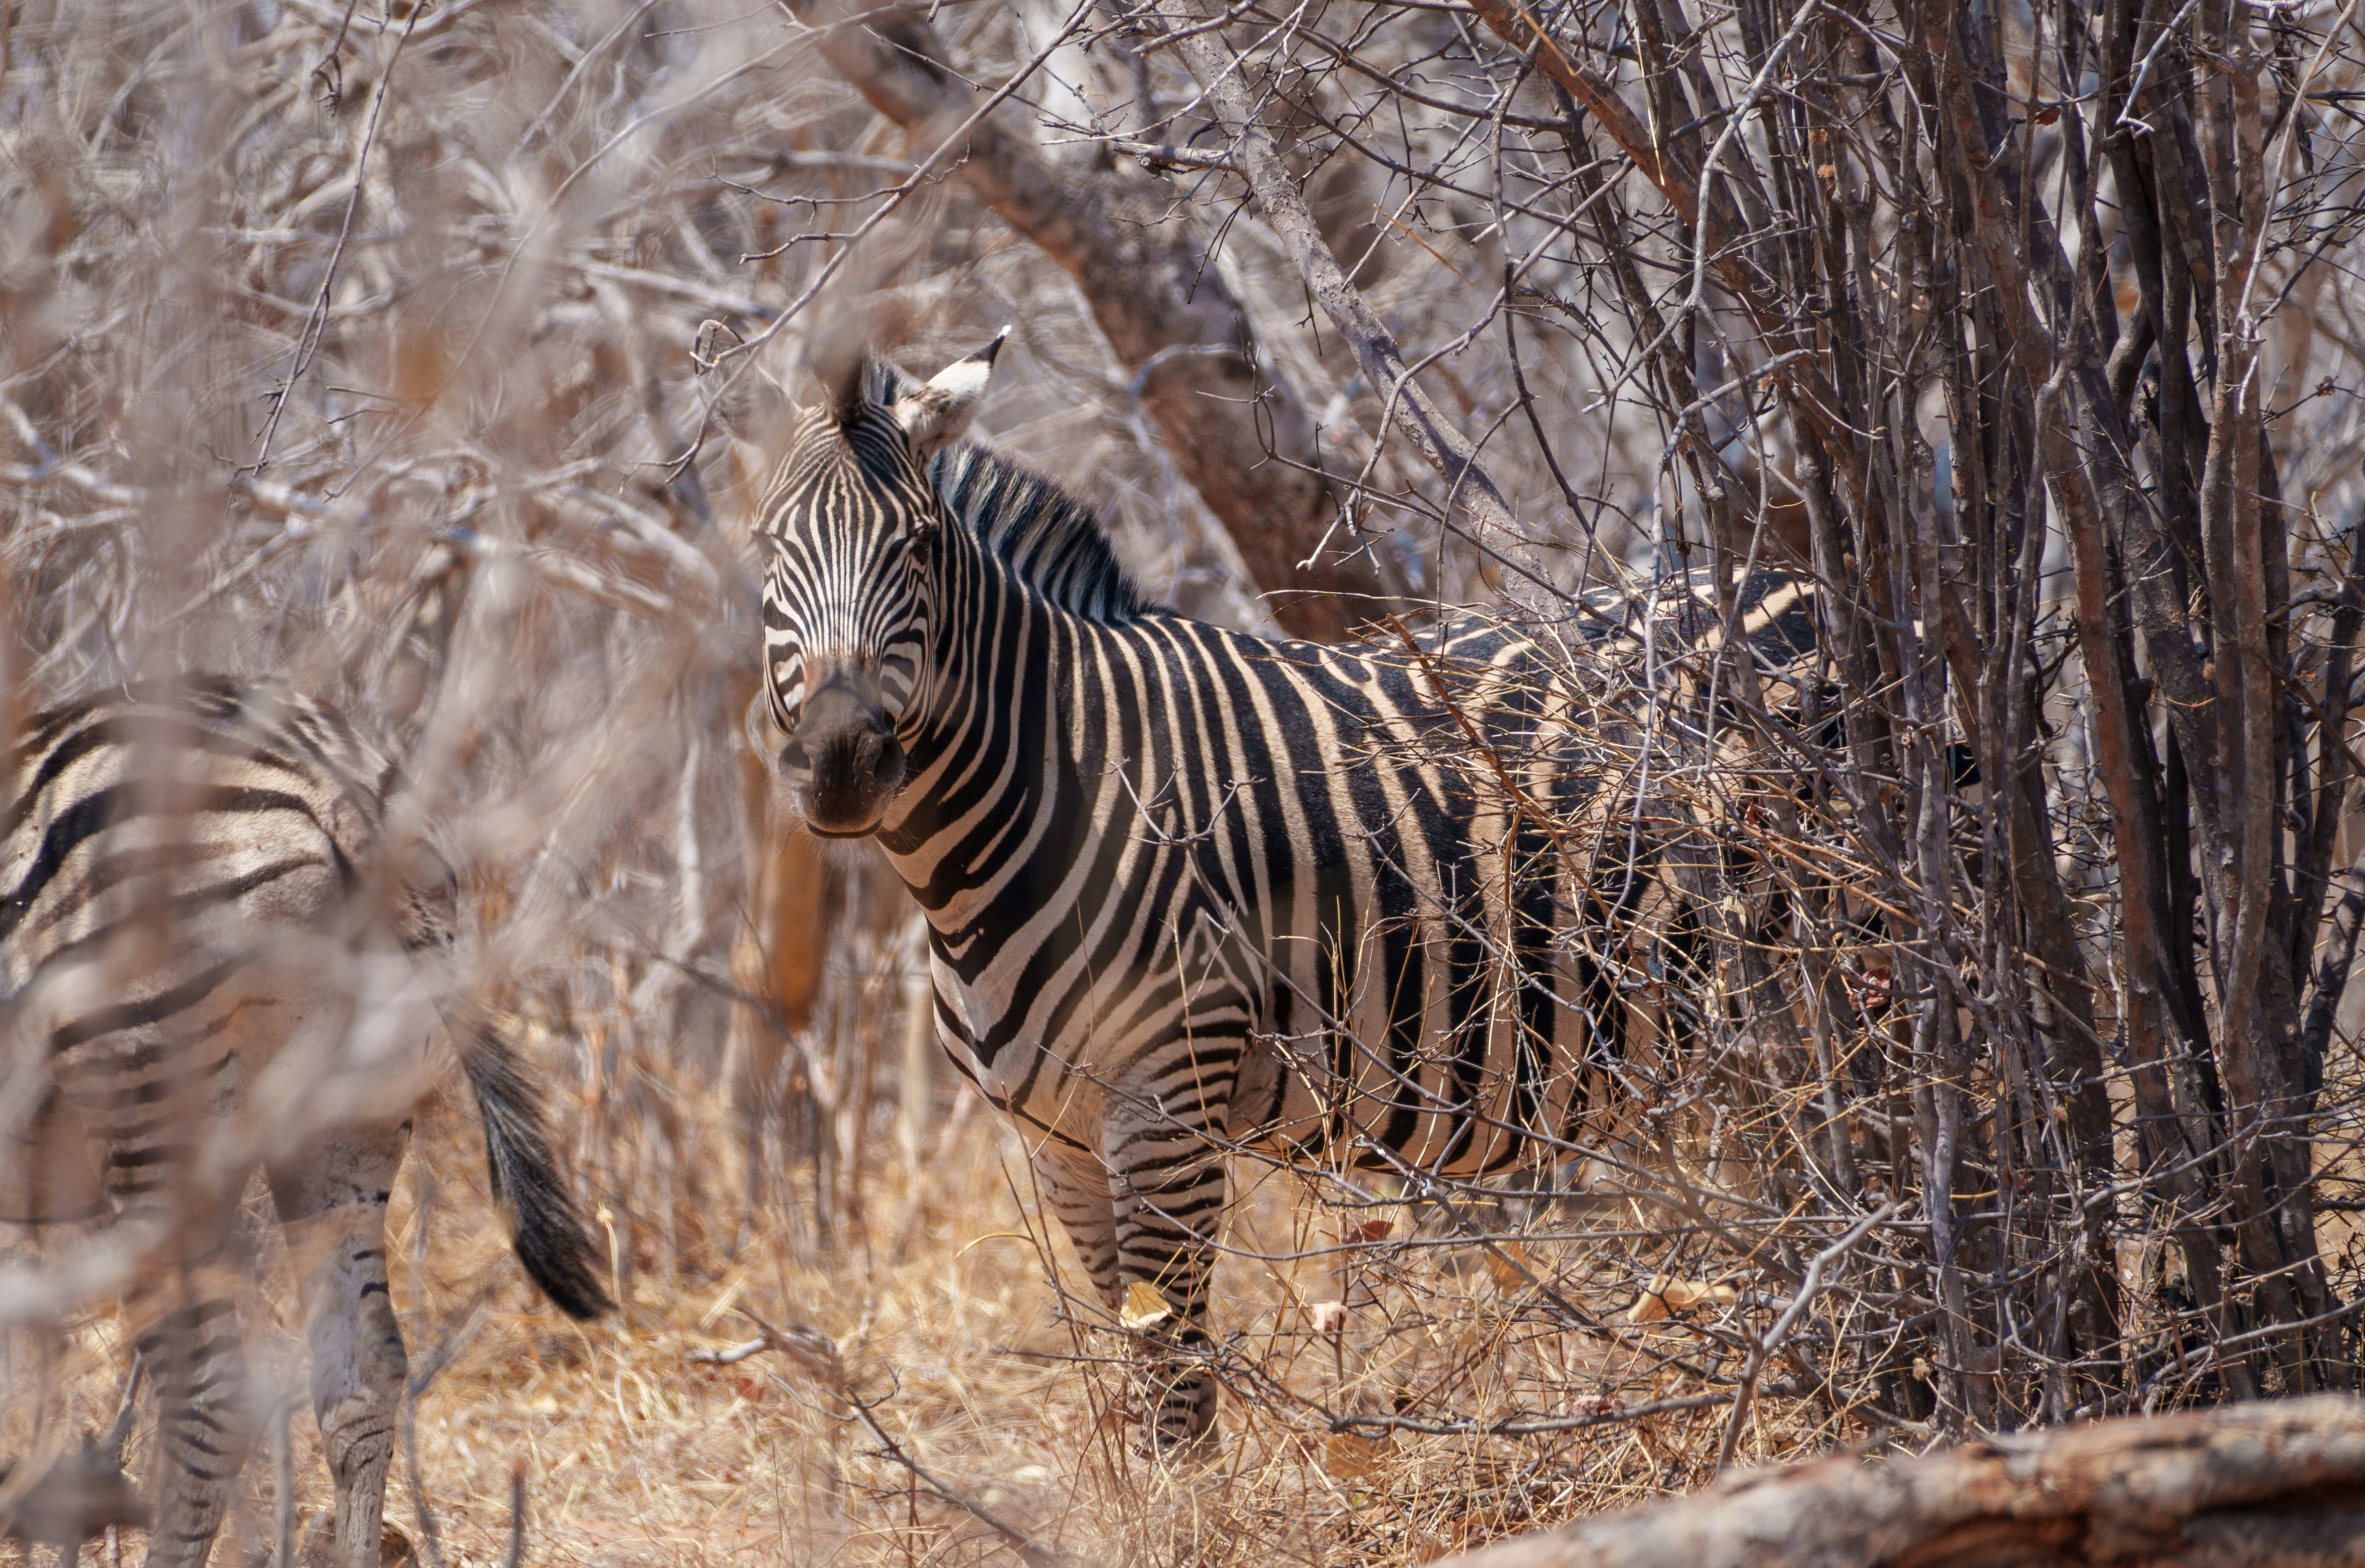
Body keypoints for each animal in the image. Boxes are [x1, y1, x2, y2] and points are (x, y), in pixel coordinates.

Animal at [745, 330, 1812, 1448]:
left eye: (915, 547)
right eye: (766, 548)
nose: (841, 764)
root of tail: (1796, 578)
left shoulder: (1169, 1095)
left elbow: (1172, 1374)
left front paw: (1178, 1491)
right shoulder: (1057, 1136)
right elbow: (1132, 1342)